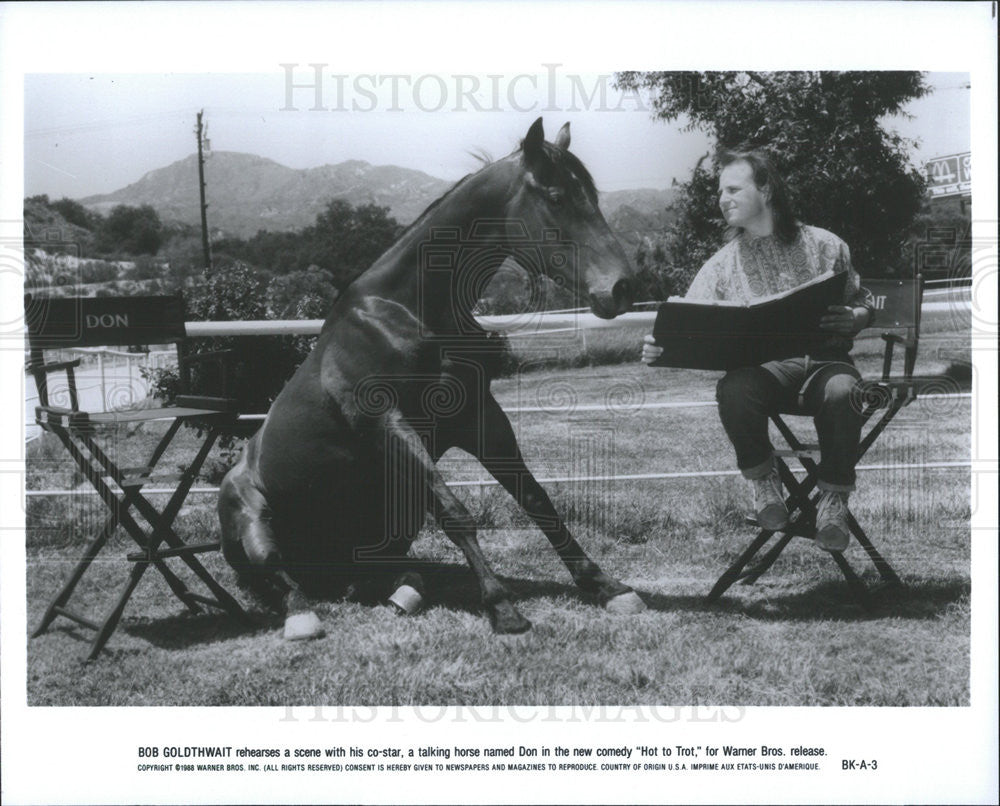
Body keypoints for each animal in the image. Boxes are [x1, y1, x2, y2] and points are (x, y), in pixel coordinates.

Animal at [217, 117, 648, 640]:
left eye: (592, 194)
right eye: (556, 196)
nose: (621, 288)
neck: (408, 311)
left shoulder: (480, 417)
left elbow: (536, 498)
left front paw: (606, 586)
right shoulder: (388, 422)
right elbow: (455, 513)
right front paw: (502, 607)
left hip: (394, 523)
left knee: (385, 573)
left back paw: (402, 593)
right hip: (254, 518)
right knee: (279, 574)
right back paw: (302, 615)